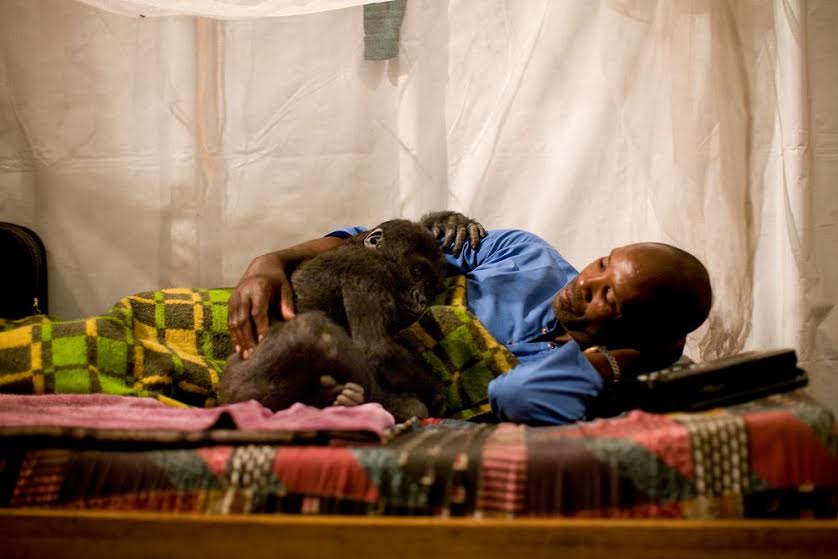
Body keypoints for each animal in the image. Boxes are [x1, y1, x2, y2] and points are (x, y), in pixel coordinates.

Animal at [220, 221, 450, 422]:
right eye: (417, 271)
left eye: (429, 286)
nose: (421, 299)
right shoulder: (370, 269)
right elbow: (378, 347)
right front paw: (436, 393)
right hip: (236, 389)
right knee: (313, 332)